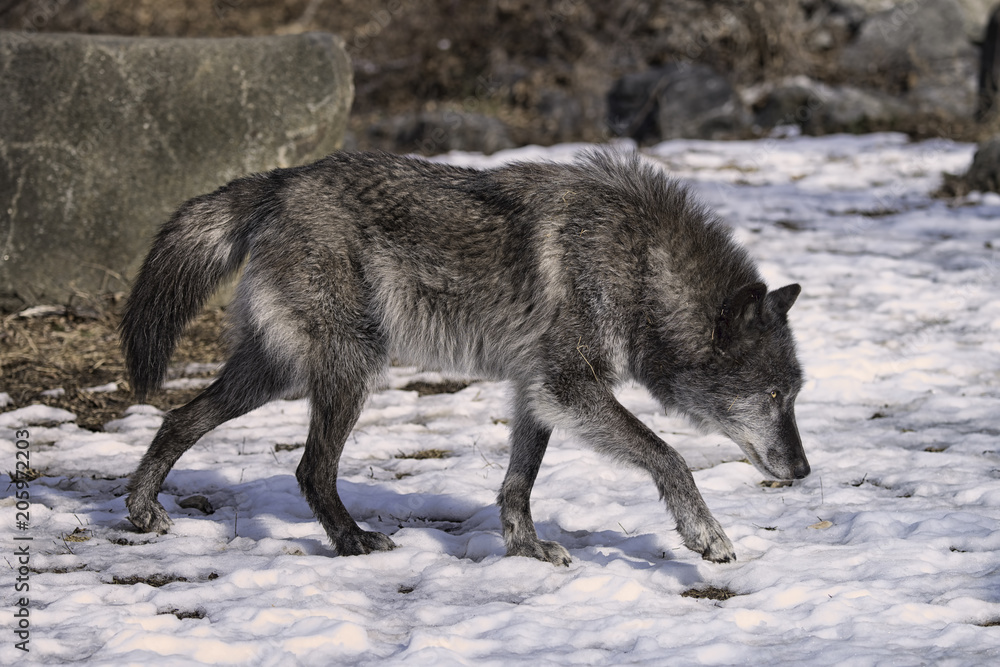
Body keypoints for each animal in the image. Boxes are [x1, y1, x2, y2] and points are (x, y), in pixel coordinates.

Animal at [120, 148, 809, 565]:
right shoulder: (570, 386)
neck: (642, 265)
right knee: (310, 469)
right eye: (774, 396)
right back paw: (352, 541)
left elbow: (518, 484)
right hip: (347, 371)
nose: (804, 471)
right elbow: (671, 457)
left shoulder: (539, 391)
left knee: (178, 417)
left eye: (794, 395)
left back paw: (142, 510)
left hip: (273, 375)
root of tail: (279, 182)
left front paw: (526, 549)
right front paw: (705, 534)